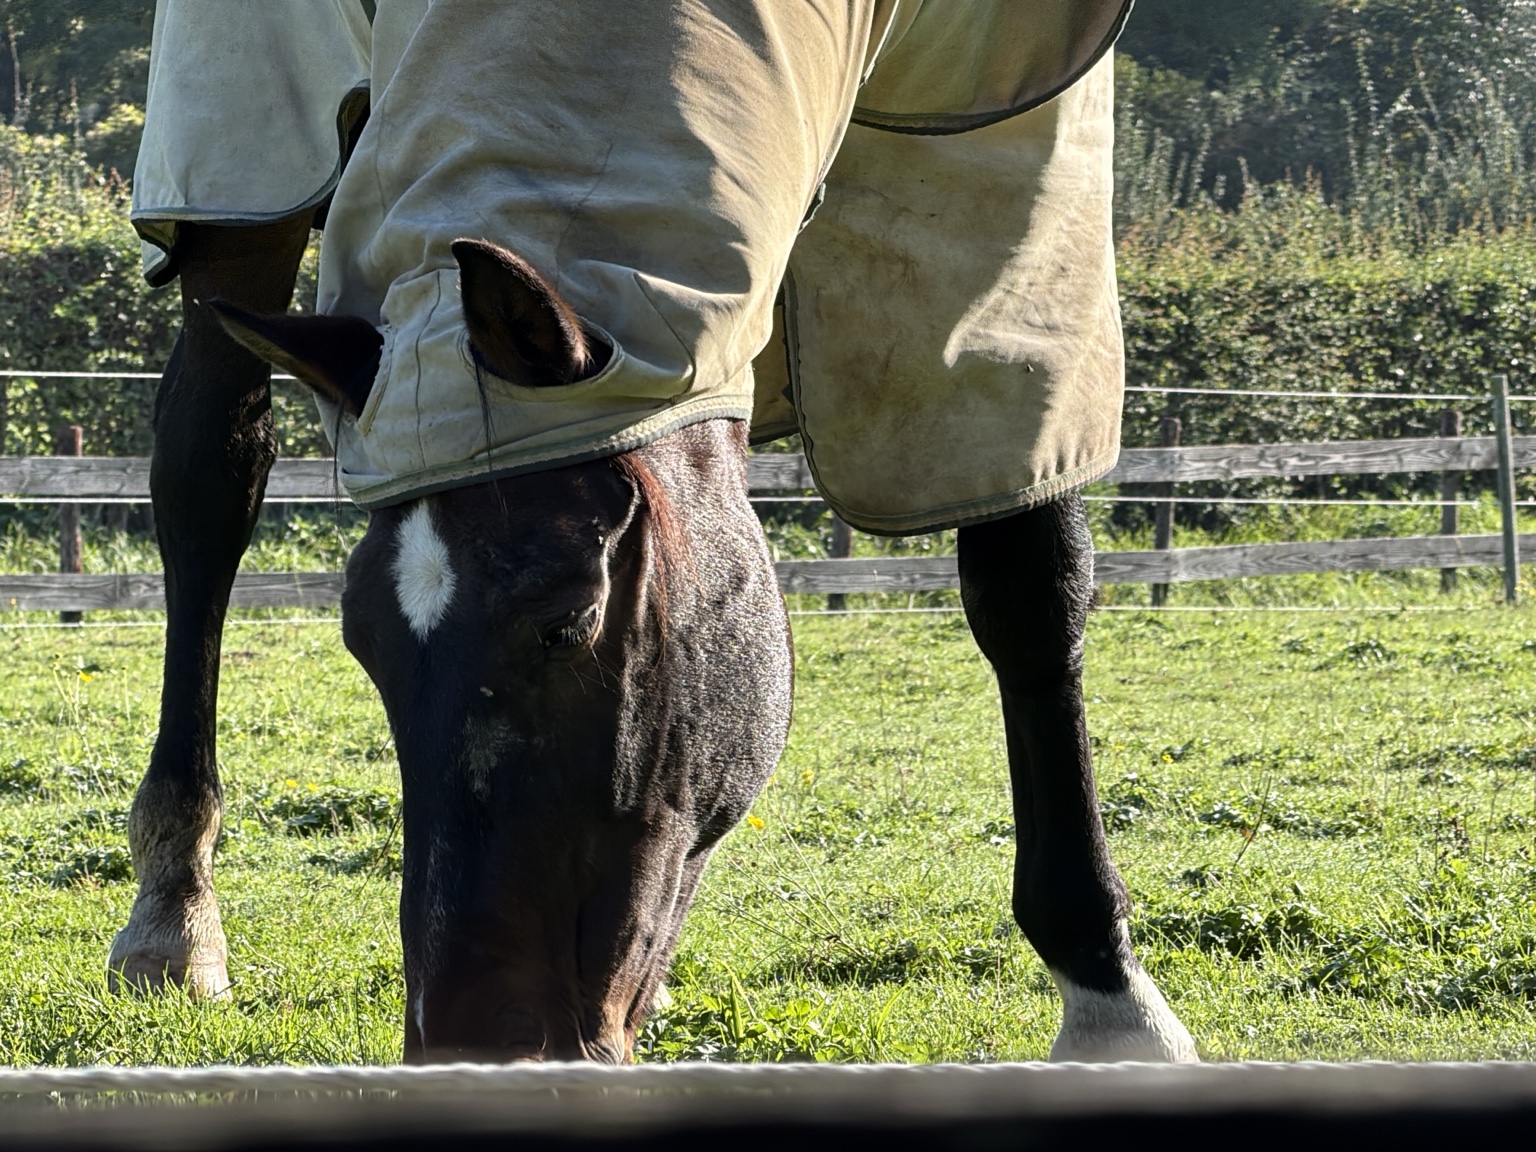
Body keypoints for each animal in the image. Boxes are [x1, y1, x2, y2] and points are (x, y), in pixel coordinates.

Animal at [109, 0, 1196, 1064]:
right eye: (362, 646)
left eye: (568, 623)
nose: (472, 1045)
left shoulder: (1001, 151)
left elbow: (1028, 585)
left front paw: (1109, 996)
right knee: (208, 480)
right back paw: (174, 915)